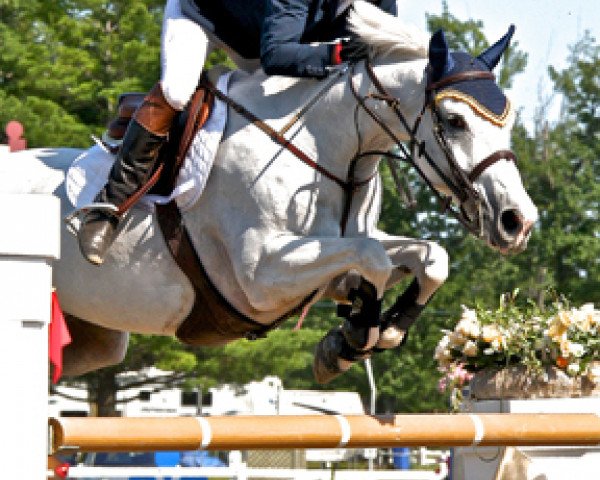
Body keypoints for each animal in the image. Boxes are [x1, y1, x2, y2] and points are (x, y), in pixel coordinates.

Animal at [0, 0, 536, 382]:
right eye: (454, 120)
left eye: (509, 121)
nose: (518, 220)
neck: (327, 145)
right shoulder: (259, 273)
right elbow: (375, 261)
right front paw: (355, 333)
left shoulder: (337, 246)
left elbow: (426, 258)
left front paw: (371, 332)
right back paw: (97, 226)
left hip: (94, 339)